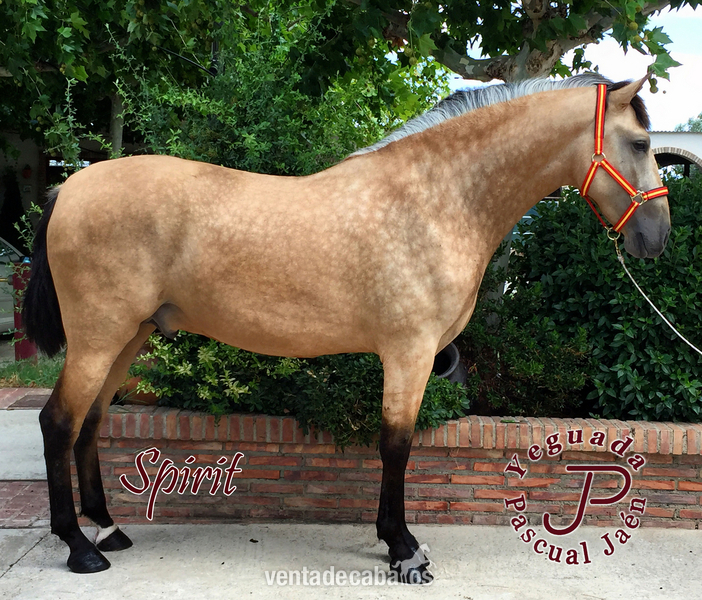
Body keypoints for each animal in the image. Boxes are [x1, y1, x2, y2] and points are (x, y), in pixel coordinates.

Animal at [22, 72, 670, 582]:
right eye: (639, 142)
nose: (657, 236)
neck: (437, 200)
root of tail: (69, 185)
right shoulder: (409, 353)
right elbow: (396, 446)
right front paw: (404, 551)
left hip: (128, 335)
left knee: (91, 423)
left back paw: (107, 529)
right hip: (99, 337)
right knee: (59, 423)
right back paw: (80, 549)